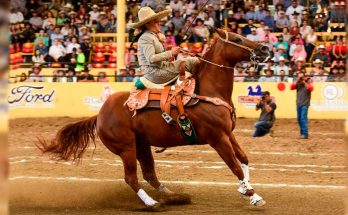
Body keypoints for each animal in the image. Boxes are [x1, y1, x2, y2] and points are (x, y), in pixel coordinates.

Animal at [37, 29, 270, 211]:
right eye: (238, 39)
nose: (265, 48)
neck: (208, 92)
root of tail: (100, 115)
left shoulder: (228, 133)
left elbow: (244, 158)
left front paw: (245, 188)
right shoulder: (218, 138)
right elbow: (235, 166)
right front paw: (254, 196)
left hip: (142, 145)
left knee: (150, 174)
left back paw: (173, 196)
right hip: (126, 148)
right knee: (131, 178)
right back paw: (152, 203)